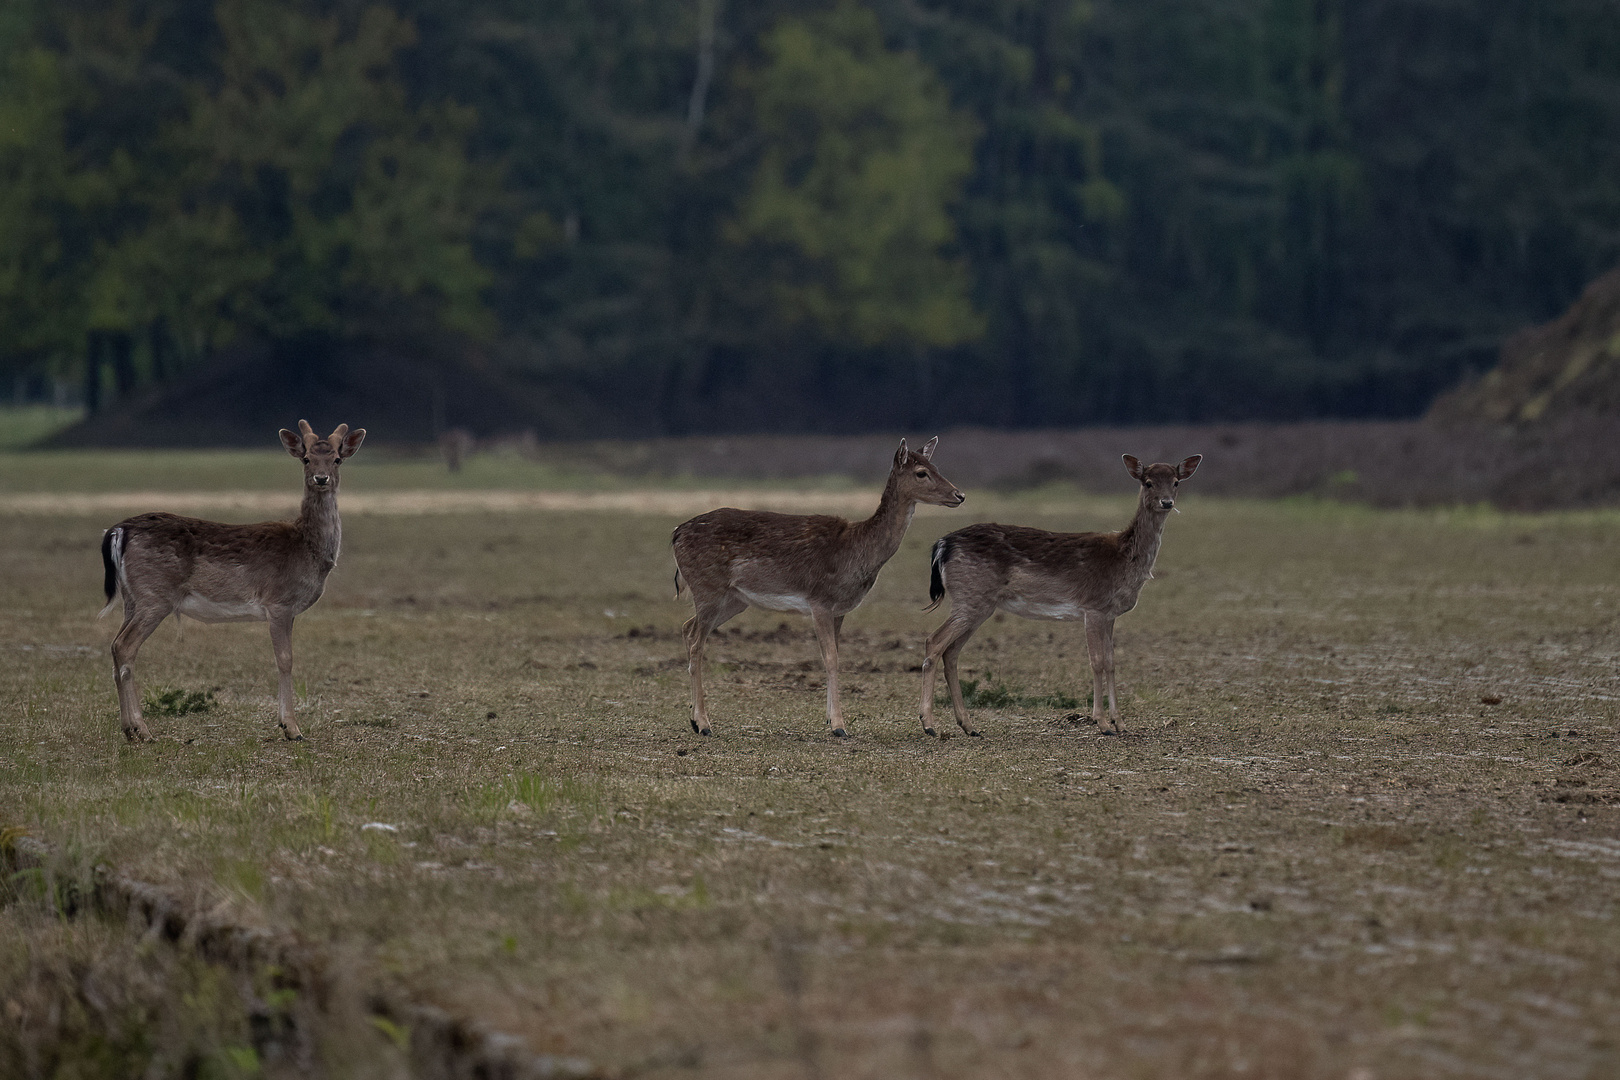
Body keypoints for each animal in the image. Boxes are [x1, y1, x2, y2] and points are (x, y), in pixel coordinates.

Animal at [101, 420, 367, 744]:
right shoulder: (278, 602)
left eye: (337, 459)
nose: (321, 478)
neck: (306, 551)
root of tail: (119, 531)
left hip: (132, 597)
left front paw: (287, 724)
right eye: (306, 459)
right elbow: (285, 659)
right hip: (155, 595)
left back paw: (128, 729)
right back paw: (142, 730)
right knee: (124, 646)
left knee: (115, 646)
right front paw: (291, 728)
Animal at [670, 433, 959, 738]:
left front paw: (830, 720)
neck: (857, 550)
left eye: (936, 465)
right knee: (696, 642)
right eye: (921, 472)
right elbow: (830, 658)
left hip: (734, 599)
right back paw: (704, 724)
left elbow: (836, 655)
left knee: (687, 628)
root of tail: (676, 533)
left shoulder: (840, 609)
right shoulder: (819, 600)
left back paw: (694, 719)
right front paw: (840, 726)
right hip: (708, 587)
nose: (959, 495)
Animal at [920, 453, 1198, 738]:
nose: (1167, 502)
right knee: (934, 641)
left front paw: (1120, 723)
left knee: (951, 652)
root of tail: (942, 545)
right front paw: (1102, 723)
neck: (1123, 560)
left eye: (1176, 482)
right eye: (1148, 482)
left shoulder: (1110, 614)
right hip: (971, 598)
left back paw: (969, 725)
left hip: (978, 605)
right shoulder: (1093, 607)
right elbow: (1097, 661)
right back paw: (929, 724)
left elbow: (1111, 662)